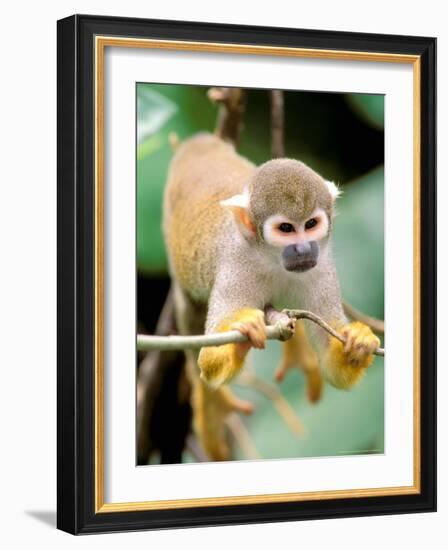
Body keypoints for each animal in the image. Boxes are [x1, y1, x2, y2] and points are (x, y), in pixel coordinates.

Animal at [163, 134, 380, 462]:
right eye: (286, 229)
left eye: (311, 224)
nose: (303, 249)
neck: (272, 258)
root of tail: (198, 145)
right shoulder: (235, 267)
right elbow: (209, 358)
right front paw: (243, 332)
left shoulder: (322, 266)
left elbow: (335, 368)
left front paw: (360, 341)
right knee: (190, 323)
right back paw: (213, 405)